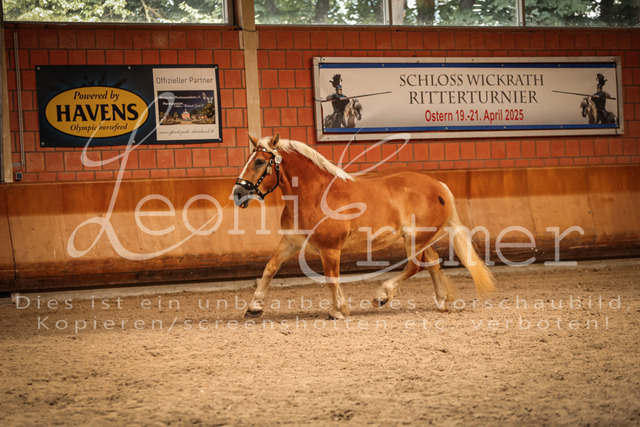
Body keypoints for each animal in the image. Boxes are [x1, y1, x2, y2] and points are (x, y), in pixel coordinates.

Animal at [232, 134, 495, 319]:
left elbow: (331, 278)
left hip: (415, 239)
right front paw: (254, 307)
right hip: (419, 239)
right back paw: (441, 300)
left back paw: (382, 296)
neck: (315, 195)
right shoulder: (291, 242)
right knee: (432, 262)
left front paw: (338, 311)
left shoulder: (330, 249)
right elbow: (270, 267)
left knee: (415, 265)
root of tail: (438, 185)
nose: (237, 193)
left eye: (259, 161)